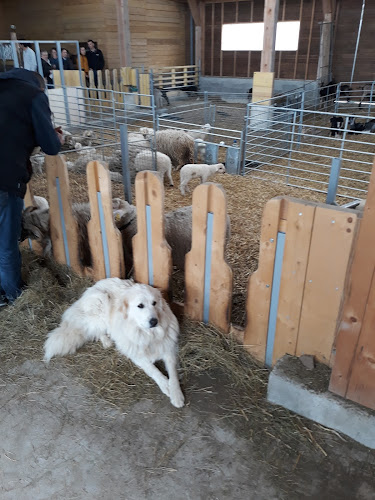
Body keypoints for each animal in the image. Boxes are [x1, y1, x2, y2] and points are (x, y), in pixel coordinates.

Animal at [44, 278, 185, 406]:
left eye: (154, 303)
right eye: (140, 306)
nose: (154, 321)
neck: (148, 335)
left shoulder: (168, 349)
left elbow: (173, 374)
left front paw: (176, 394)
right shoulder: (137, 355)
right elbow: (153, 370)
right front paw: (165, 385)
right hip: (102, 302)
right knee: (96, 330)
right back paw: (107, 341)